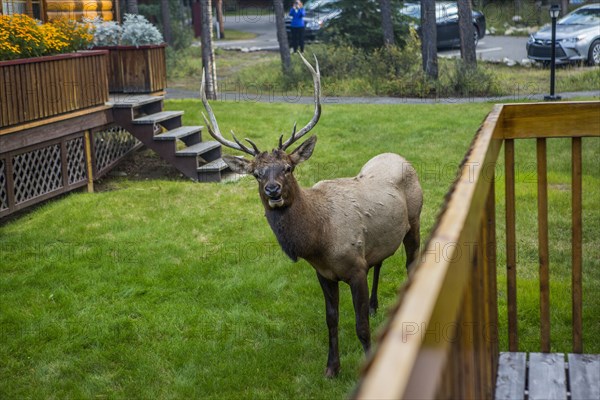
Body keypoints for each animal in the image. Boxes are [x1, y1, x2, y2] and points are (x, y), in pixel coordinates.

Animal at [200, 54, 422, 378]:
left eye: (288, 167)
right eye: (256, 173)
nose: (273, 190)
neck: (319, 241)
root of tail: (400, 156)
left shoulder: (355, 267)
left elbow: (361, 327)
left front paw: (366, 365)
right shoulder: (324, 273)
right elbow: (331, 320)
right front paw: (331, 368)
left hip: (416, 218)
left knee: (411, 261)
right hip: (380, 238)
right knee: (381, 260)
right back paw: (374, 305)